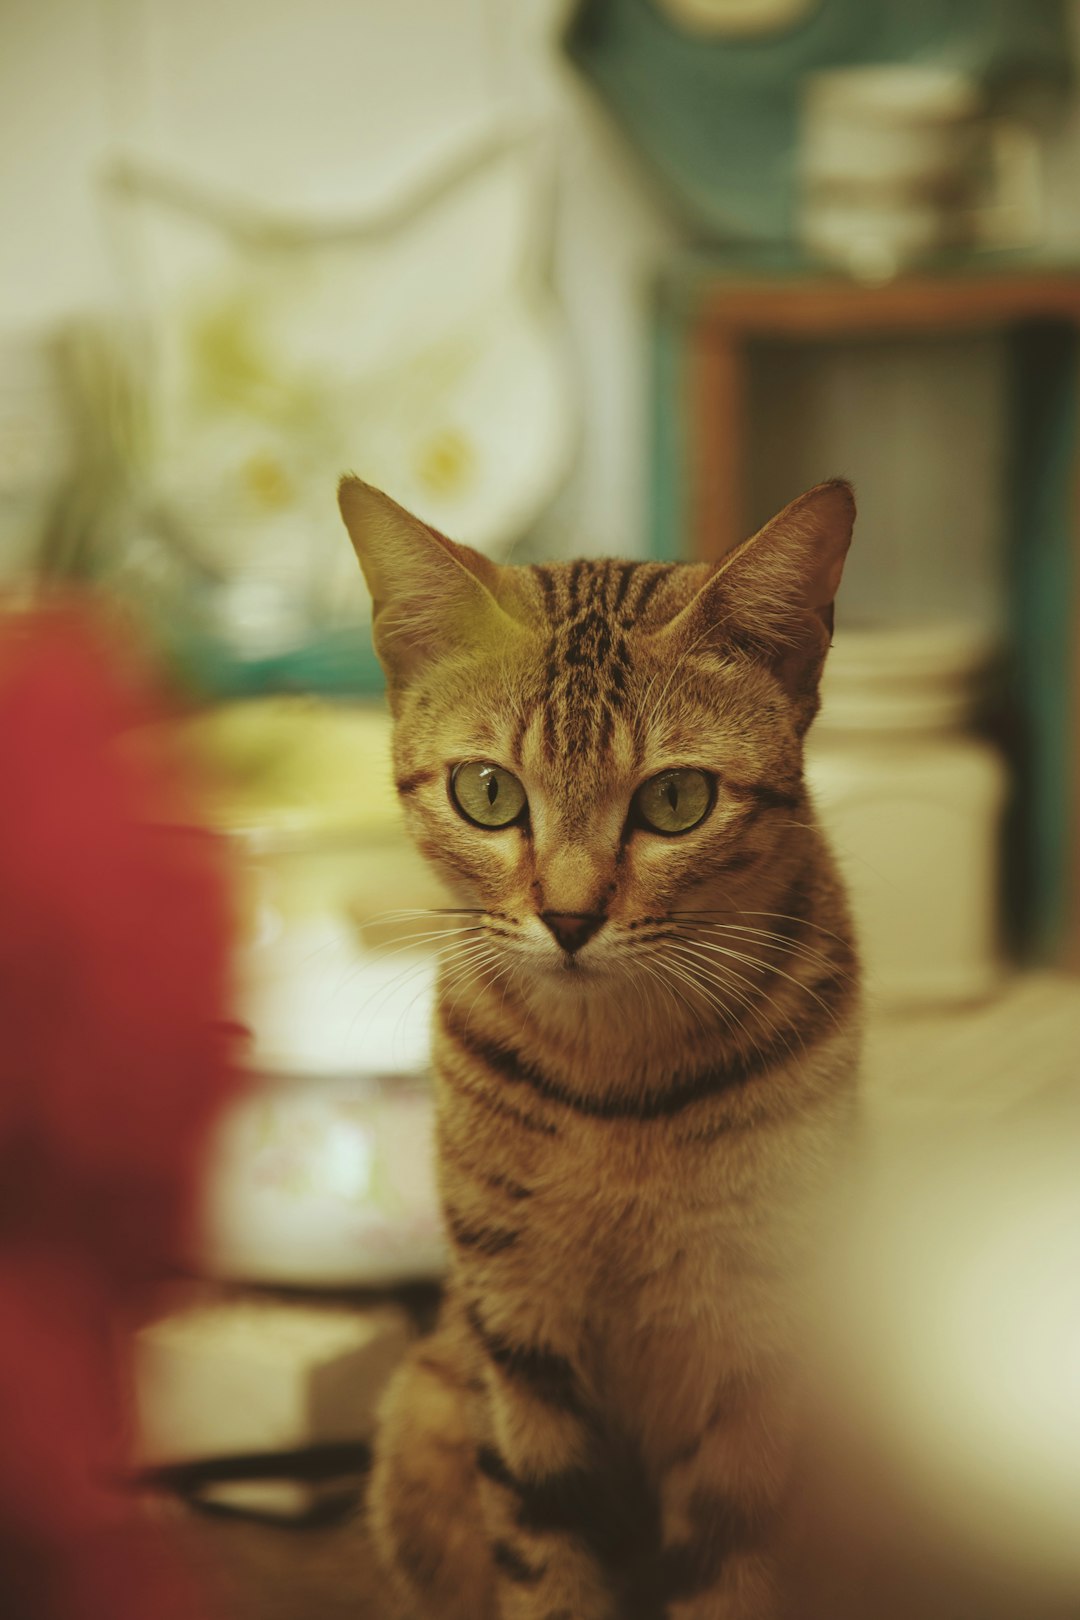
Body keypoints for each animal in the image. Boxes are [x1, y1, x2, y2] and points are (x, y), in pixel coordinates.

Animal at [338, 476, 861, 1620]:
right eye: (488, 791)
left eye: (676, 800)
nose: (571, 918)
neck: (617, 1079)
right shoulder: (517, 1340)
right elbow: (547, 1556)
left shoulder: (759, 1338)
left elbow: (732, 1562)